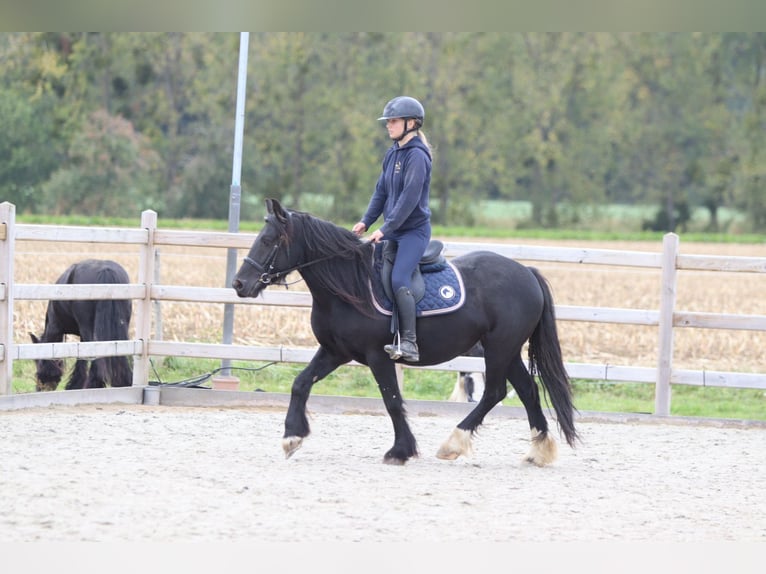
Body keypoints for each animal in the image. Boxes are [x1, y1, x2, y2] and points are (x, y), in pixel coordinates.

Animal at [29, 259, 133, 391]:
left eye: (37, 362)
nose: (40, 387)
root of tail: (106, 271)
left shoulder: (55, 327)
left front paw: (74, 385)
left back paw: (93, 385)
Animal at [232, 198, 579, 466]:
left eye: (268, 240)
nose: (239, 284)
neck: (350, 285)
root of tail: (526, 272)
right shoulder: (335, 351)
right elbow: (300, 384)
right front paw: (292, 437)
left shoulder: (378, 356)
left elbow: (392, 400)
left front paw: (400, 451)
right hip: (507, 350)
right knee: (527, 390)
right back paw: (538, 452)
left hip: (498, 348)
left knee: (495, 392)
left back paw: (454, 443)